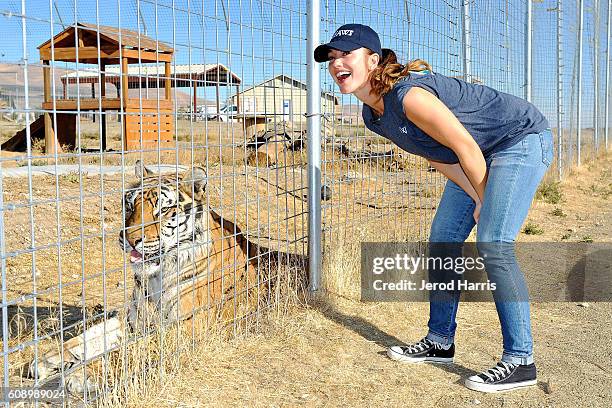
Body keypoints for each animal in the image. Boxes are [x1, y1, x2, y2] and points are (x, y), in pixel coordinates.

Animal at [26, 161, 258, 394]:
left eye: (163, 210)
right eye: (129, 206)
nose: (129, 239)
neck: (157, 276)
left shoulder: (183, 328)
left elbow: (129, 351)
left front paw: (82, 373)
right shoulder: (134, 320)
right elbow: (92, 334)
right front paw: (47, 358)